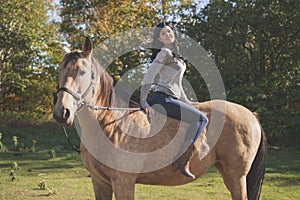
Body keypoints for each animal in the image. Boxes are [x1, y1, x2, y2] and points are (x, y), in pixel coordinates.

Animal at [52, 37, 266, 200]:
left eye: (82, 71)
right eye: (60, 71)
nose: (62, 112)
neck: (111, 125)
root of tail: (251, 116)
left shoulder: (123, 182)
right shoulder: (100, 183)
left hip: (237, 176)